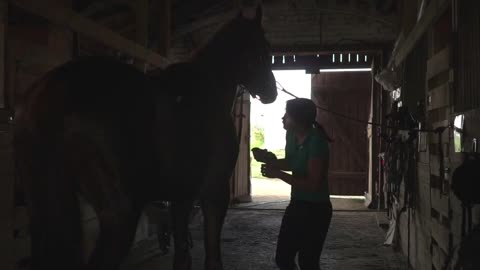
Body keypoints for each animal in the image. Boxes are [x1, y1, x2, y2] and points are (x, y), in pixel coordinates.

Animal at [13, 4, 276, 270]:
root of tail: (49, 94)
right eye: (264, 49)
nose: (271, 92)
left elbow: (183, 255)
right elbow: (212, 257)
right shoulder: (214, 191)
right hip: (120, 215)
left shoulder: (181, 197)